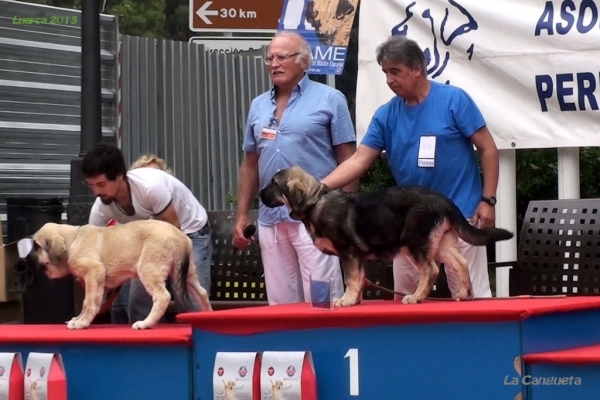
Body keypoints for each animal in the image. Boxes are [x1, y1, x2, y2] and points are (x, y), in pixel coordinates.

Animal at [260, 166, 512, 306]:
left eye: (274, 183)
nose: (260, 194)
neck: (315, 202)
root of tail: (445, 201)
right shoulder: (357, 256)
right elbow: (359, 278)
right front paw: (355, 300)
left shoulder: (347, 252)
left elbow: (351, 278)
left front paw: (346, 301)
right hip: (440, 241)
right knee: (460, 263)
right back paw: (465, 294)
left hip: (414, 240)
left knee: (430, 269)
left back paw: (415, 297)